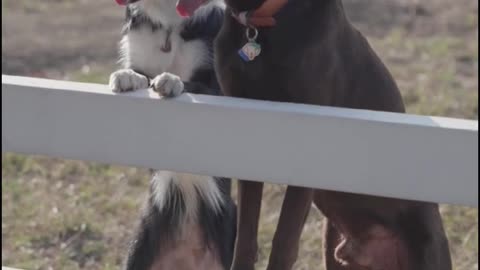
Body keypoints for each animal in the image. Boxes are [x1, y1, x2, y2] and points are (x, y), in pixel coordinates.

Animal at [109, 1, 236, 268]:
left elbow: (193, 85)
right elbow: (138, 73)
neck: (168, 23)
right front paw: (128, 77)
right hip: (140, 243)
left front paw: (172, 80)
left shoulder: (217, 89)